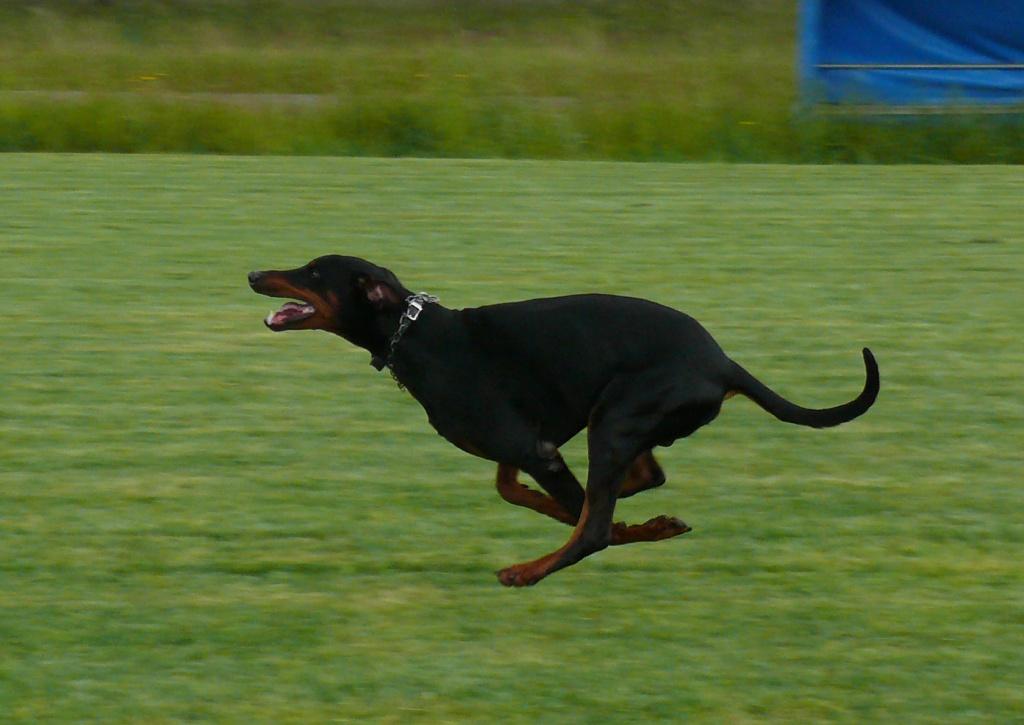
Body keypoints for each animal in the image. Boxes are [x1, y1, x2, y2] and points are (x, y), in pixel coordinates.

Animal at [249, 254, 880, 581]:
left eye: (313, 273)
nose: (254, 275)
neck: (418, 335)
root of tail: (724, 363)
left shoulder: (534, 448)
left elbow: (583, 515)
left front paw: (636, 528)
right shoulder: (531, 445)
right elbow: (518, 491)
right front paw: (635, 521)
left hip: (616, 418)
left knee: (595, 529)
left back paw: (530, 570)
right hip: (614, 419)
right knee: (643, 477)